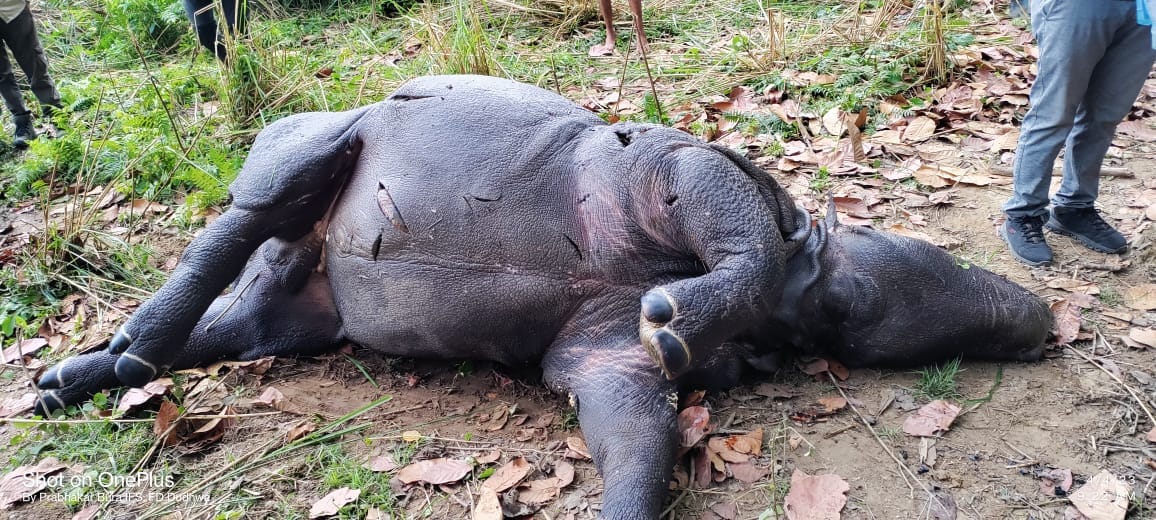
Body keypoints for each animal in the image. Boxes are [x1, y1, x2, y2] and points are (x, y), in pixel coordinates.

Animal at [35, 75, 1052, 519]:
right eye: (857, 301)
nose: (1041, 317)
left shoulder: (599, 359)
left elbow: (639, 448)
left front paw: (669, 336)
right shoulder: (675, 173)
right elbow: (750, 245)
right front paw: (676, 323)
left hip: (296, 319)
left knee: (233, 323)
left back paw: (71, 379)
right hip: (310, 145)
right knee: (234, 225)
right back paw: (131, 341)